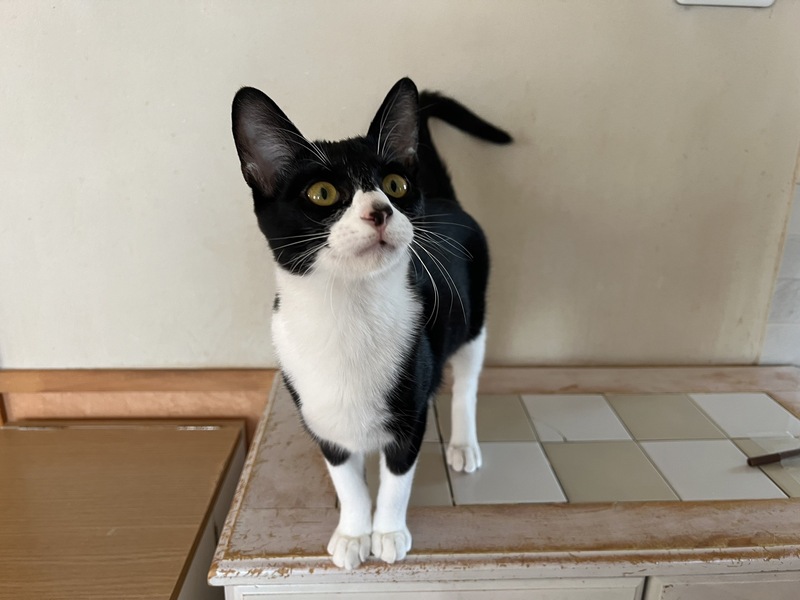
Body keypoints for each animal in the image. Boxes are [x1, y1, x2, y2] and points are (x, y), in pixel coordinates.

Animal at [231, 78, 511, 569]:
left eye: (395, 185)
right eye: (322, 193)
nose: (380, 210)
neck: (349, 313)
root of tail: (444, 199)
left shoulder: (409, 415)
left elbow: (398, 478)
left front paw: (388, 532)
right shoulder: (320, 416)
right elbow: (348, 480)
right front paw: (352, 532)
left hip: (473, 317)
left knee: (466, 382)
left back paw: (462, 443)